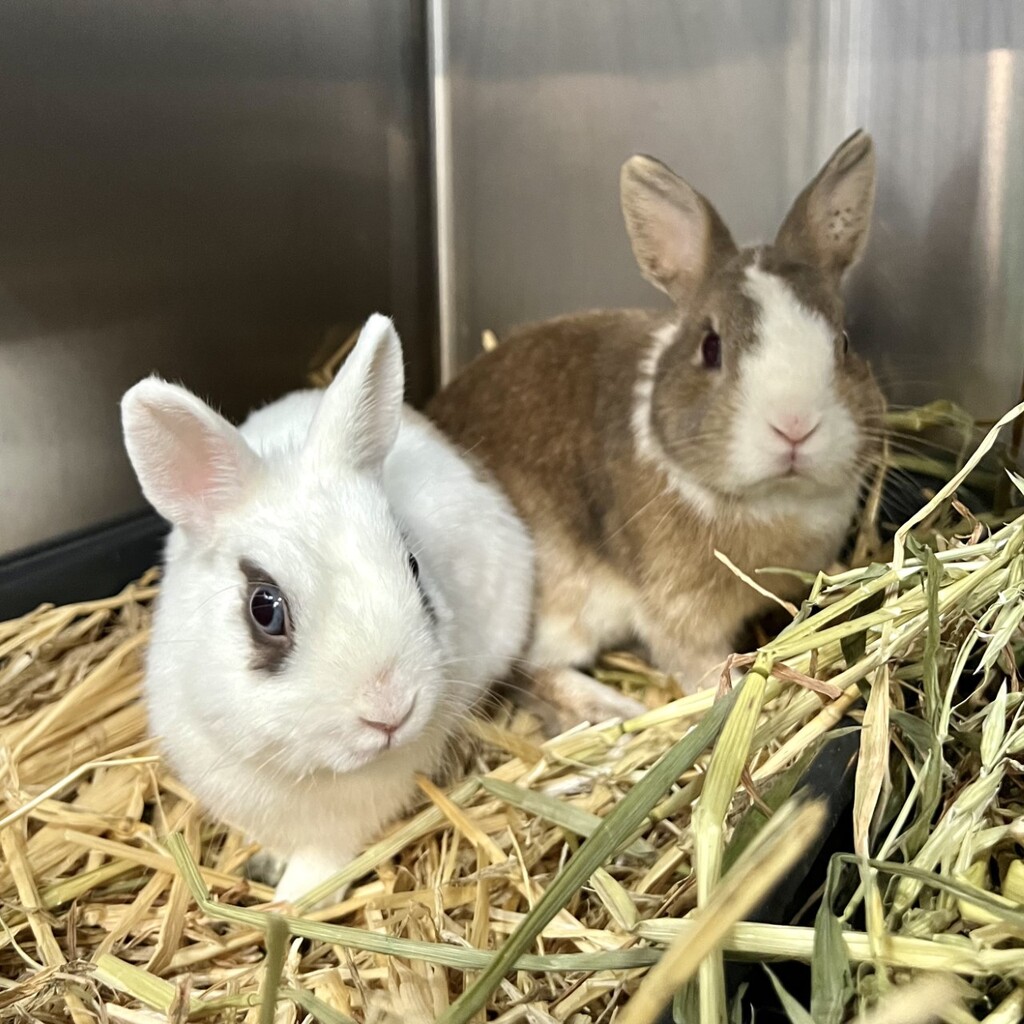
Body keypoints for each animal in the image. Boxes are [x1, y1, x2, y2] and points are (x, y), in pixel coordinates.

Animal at [120, 314, 533, 905]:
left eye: (413, 565)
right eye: (264, 610)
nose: (391, 710)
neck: (307, 773)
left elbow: (323, 859)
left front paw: (293, 899)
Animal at [428, 130, 885, 728]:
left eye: (845, 343)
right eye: (710, 348)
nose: (794, 426)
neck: (774, 501)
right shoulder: (679, 613)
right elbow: (698, 664)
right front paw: (724, 700)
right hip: (553, 604)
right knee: (529, 673)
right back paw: (610, 707)